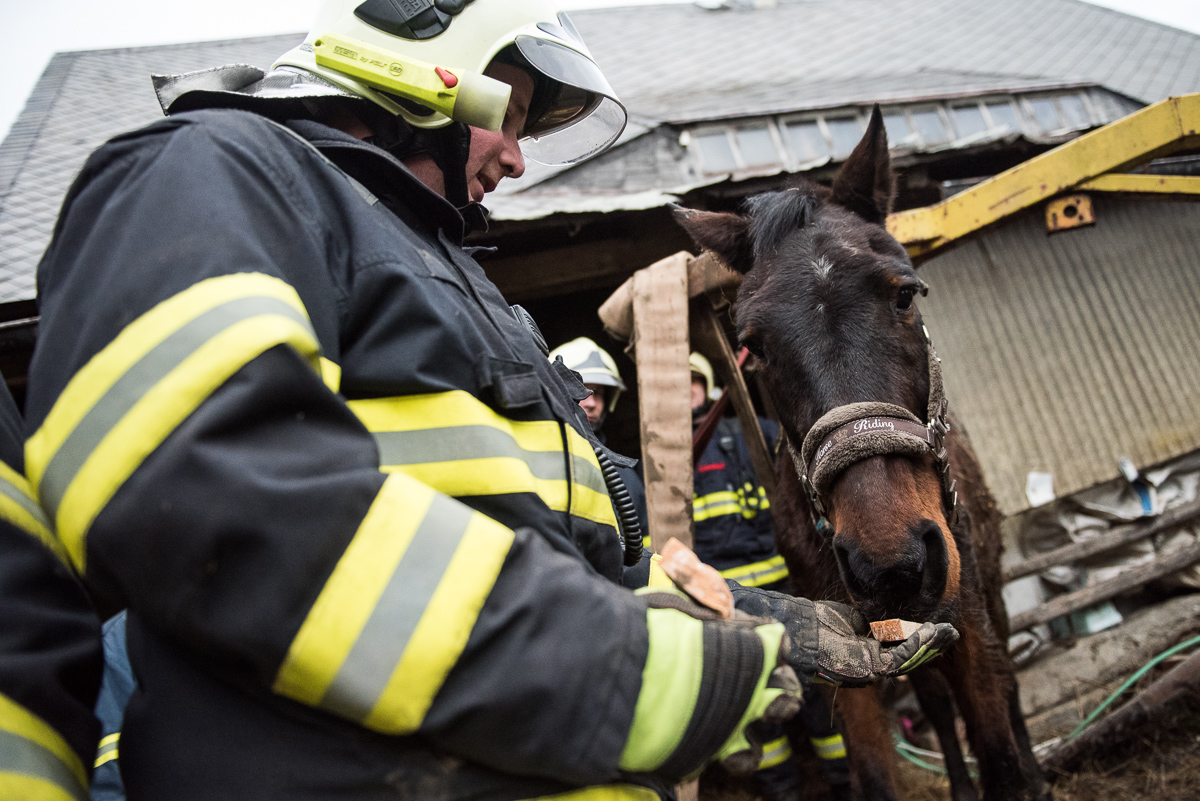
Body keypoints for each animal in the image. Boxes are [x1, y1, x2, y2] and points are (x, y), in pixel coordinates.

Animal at [676, 107, 1051, 801]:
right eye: (754, 344)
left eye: (905, 294)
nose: (892, 563)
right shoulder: (851, 655)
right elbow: (878, 764)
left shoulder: (967, 621)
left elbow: (998, 745)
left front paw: (1024, 774)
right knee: (934, 702)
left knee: (1009, 679)